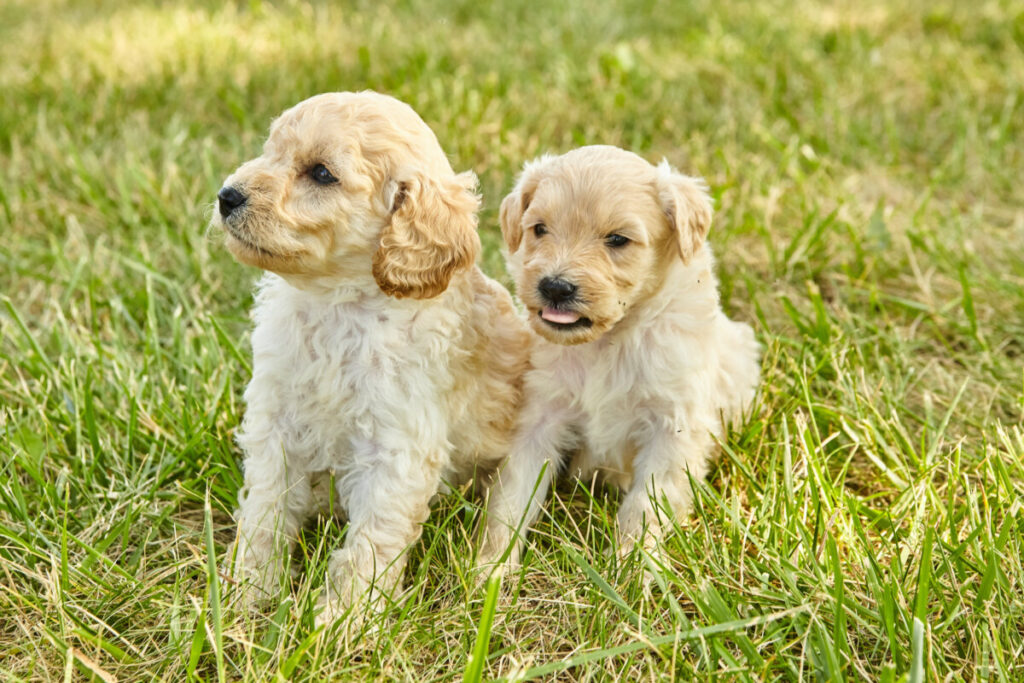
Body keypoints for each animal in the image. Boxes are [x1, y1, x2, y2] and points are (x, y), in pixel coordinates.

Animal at [210, 92, 528, 630]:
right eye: (270, 151)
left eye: (321, 173)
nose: (226, 196)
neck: (337, 305)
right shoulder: (276, 424)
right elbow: (265, 511)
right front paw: (246, 594)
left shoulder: (396, 449)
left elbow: (371, 542)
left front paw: (342, 622)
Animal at [479, 147, 761, 573]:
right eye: (539, 229)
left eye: (617, 239)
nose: (555, 287)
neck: (608, 342)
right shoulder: (540, 415)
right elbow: (512, 496)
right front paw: (491, 569)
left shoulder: (672, 426)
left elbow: (646, 505)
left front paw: (632, 570)